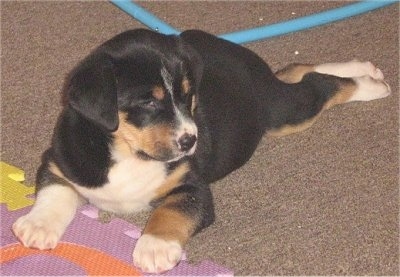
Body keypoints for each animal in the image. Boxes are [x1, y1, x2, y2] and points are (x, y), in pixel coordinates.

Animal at [12, 28, 390, 272]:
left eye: (187, 96)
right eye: (148, 102)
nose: (190, 141)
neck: (129, 154)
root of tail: (237, 51)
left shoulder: (193, 187)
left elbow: (171, 212)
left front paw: (154, 247)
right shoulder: (60, 161)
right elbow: (54, 193)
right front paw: (38, 226)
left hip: (283, 112)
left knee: (318, 85)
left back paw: (370, 84)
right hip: (278, 97)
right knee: (297, 70)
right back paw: (363, 68)